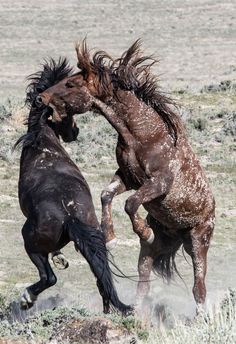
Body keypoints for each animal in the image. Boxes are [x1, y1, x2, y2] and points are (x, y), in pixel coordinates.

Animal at [38, 40, 216, 310]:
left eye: (71, 84)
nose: (41, 98)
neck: (144, 135)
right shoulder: (127, 177)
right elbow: (106, 195)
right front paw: (110, 235)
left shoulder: (159, 183)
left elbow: (131, 203)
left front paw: (144, 230)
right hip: (151, 253)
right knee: (144, 282)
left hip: (199, 241)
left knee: (199, 287)